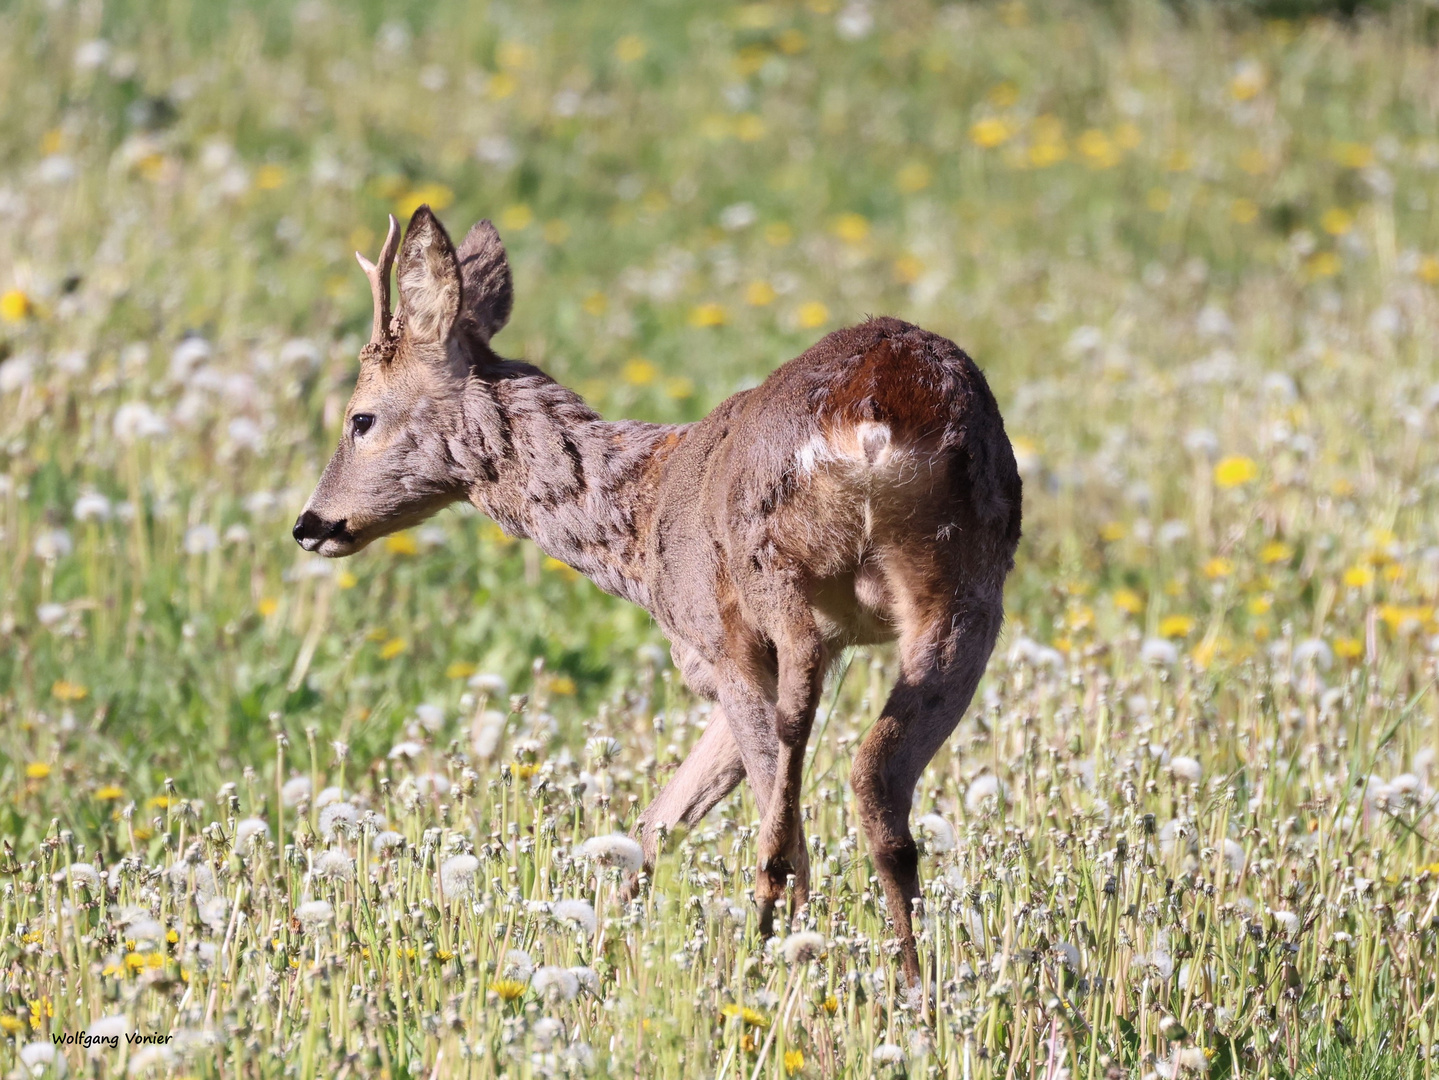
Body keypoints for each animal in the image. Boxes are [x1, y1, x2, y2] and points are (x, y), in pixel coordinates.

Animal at [292, 204, 1018, 989]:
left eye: (360, 417)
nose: (309, 525)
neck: (642, 517)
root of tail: (875, 413)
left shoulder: (711, 642)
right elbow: (659, 820)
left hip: (769, 572)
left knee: (796, 761)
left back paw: (777, 933)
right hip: (970, 583)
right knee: (874, 780)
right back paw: (912, 984)